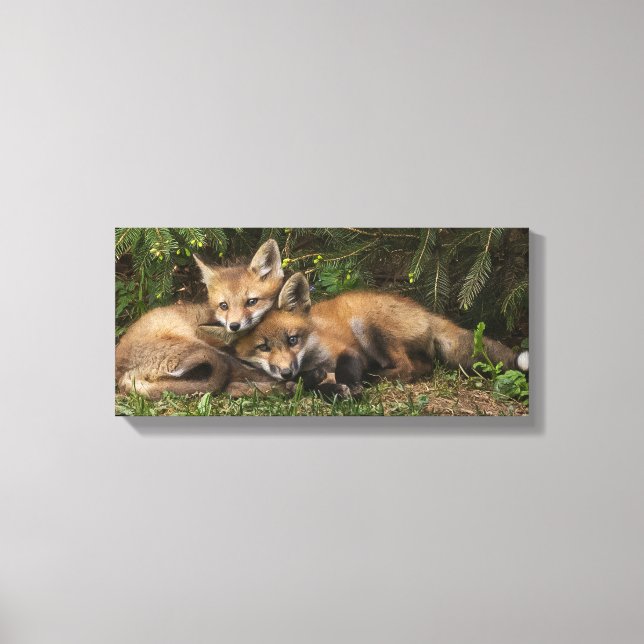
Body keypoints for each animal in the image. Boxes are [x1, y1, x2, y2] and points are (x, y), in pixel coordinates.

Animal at [115, 239, 285, 398]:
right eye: (224, 306)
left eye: (251, 302)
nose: (234, 326)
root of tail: (122, 373)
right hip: (202, 349)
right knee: (230, 381)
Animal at [235, 273, 529, 397]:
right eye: (263, 347)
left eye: (292, 340)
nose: (286, 372)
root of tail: (426, 312)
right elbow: (314, 386)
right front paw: (334, 390)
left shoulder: (348, 350)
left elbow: (346, 370)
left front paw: (352, 386)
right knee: (423, 366)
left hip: (371, 330)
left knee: (406, 368)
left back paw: (372, 378)